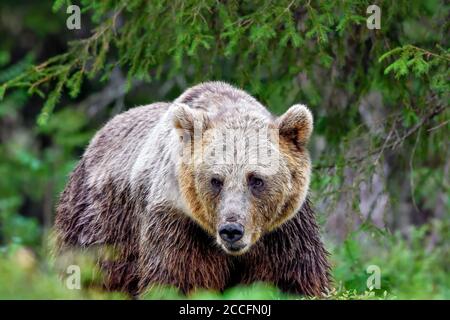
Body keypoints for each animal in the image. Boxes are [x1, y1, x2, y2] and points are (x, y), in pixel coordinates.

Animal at [55, 81, 330, 296]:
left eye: (256, 179)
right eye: (216, 180)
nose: (231, 230)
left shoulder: (284, 232)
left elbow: (290, 278)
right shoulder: (178, 224)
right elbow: (177, 280)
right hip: (99, 228)